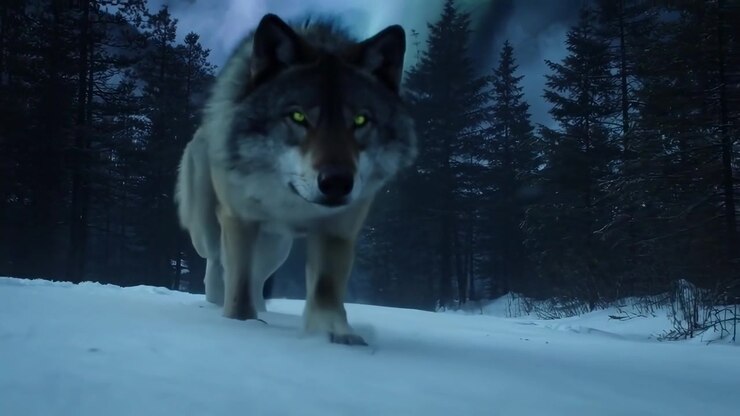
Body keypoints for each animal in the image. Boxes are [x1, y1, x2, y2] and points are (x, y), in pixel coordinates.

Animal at [174, 14, 417, 345]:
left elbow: (326, 290)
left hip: (277, 248)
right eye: (299, 117)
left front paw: (333, 333)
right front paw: (240, 324)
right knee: (216, 264)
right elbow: (237, 283)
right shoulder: (239, 219)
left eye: (360, 120)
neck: (291, 202)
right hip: (206, 228)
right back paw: (216, 302)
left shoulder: (338, 230)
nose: (337, 182)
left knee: (257, 276)